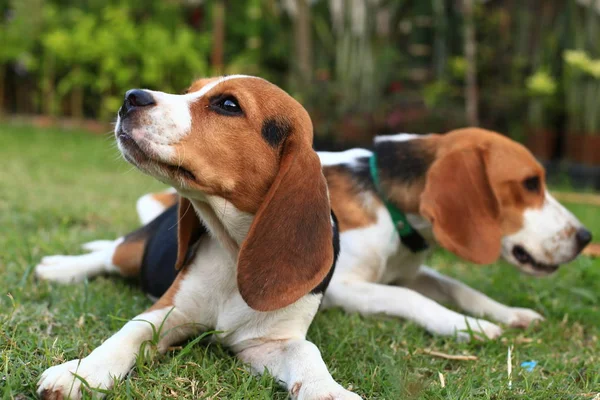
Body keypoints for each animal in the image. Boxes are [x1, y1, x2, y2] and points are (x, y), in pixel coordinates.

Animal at [35, 76, 360, 400]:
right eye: (189, 91)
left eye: (229, 104)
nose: (130, 97)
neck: (232, 250)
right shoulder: (169, 311)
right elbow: (129, 333)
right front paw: (81, 373)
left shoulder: (268, 341)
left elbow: (306, 351)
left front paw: (326, 390)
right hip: (134, 252)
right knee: (107, 256)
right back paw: (58, 268)